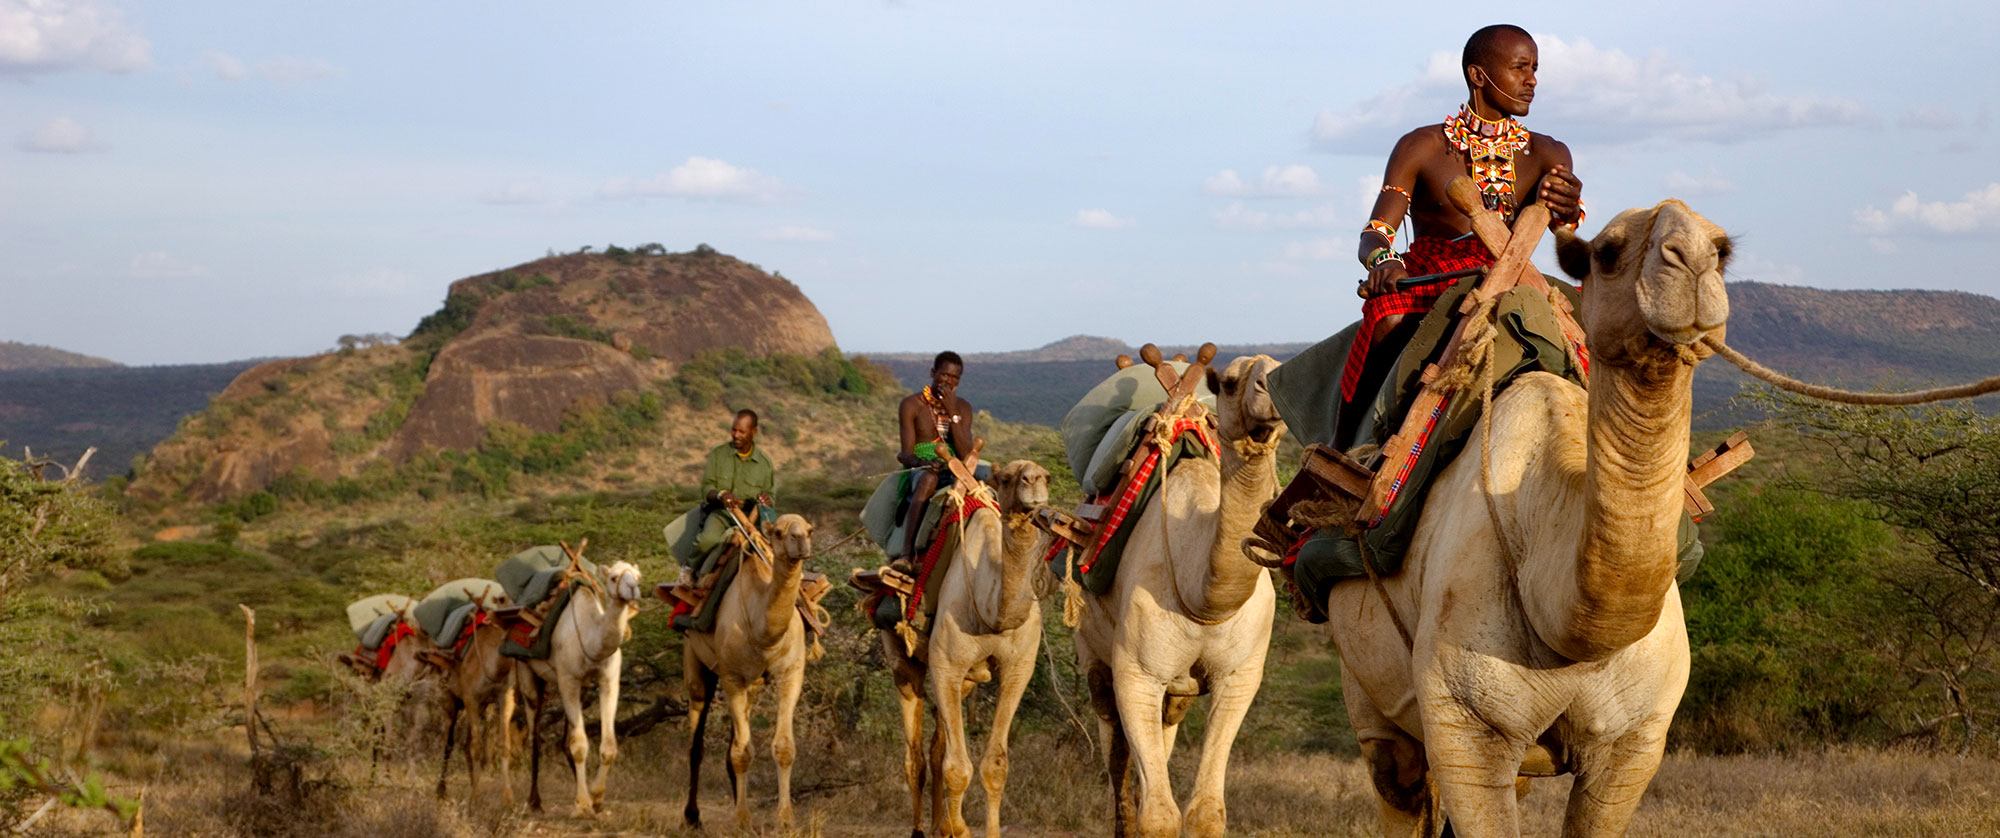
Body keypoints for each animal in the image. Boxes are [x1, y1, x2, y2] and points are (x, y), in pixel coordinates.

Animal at [508, 544, 648, 820]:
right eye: (613, 577)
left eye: (636, 576)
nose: (633, 589)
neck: (590, 637)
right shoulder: (568, 681)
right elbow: (580, 745)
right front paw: (583, 804)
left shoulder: (608, 680)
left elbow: (608, 745)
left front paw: (596, 798)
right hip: (527, 674)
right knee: (535, 736)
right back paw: (534, 801)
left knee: (564, 739)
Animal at [684, 516, 816, 832]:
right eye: (778, 532)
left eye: (809, 530)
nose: (800, 542)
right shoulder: (732, 678)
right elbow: (741, 752)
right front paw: (743, 820)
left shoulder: (791, 674)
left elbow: (783, 747)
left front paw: (785, 819)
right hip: (696, 664)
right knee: (696, 743)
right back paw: (692, 816)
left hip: (751, 686)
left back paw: (734, 800)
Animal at [884, 460, 1056, 838]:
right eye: (1006, 478)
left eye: (1047, 476)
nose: (1033, 481)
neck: (992, 611)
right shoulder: (945, 665)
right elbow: (957, 768)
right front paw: (959, 828)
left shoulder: (1018, 669)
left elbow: (995, 764)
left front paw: (970, 828)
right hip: (903, 660)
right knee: (915, 755)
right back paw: (922, 829)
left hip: (966, 680)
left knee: (936, 747)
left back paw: (942, 825)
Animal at [1320, 200, 1728, 836]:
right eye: (1607, 251)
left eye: (1724, 250)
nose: (1691, 261)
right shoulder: (1468, 728)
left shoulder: (1634, 743)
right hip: (1370, 696)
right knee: (1399, 783)